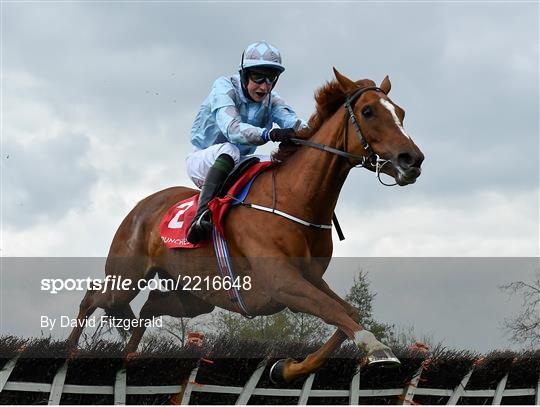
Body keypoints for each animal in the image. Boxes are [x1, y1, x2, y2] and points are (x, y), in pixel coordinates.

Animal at [67, 68, 424, 384]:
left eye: (401, 112)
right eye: (368, 111)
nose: (413, 159)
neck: (295, 199)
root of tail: (140, 207)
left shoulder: (308, 278)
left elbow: (347, 313)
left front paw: (283, 368)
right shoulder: (283, 283)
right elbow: (334, 311)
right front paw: (378, 349)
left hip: (194, 296)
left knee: (148, 307)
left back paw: (128, 359)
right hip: (126, 277)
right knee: (93, 296)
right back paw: (69, 353)